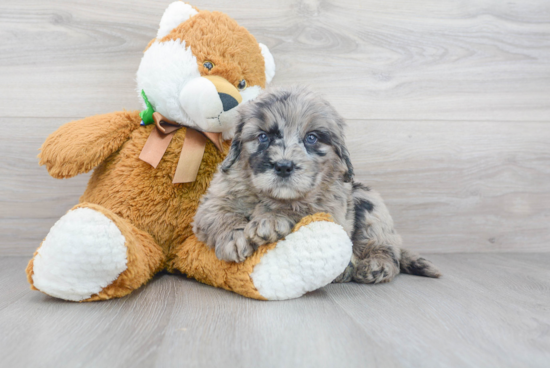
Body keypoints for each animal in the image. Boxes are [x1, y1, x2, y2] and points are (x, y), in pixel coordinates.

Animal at [194, 87, 440, 284]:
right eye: (263, 137)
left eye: (311, 138)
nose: (283, 166)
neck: (272, 196)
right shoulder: (213, 200)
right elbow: (219, 214)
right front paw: (234, 238)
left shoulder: (332, 208)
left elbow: (302, 208)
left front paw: (270, 219)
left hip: (369, 202)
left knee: (389, 250)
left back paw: (375, 265)